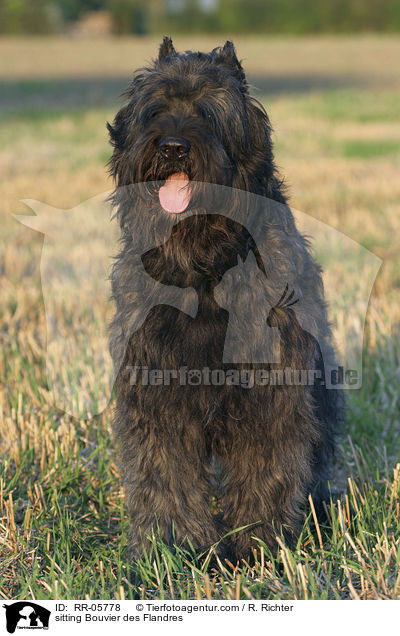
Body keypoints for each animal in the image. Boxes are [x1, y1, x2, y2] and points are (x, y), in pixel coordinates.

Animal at [107, 37, 344, 560]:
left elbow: (267, 471)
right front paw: (170, 549)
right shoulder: (157, 386)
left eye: (208, 112)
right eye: (156, 108)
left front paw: (256, 545)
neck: (205, 269)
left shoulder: (271, 390)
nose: (172, 147)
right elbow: (165, 472)